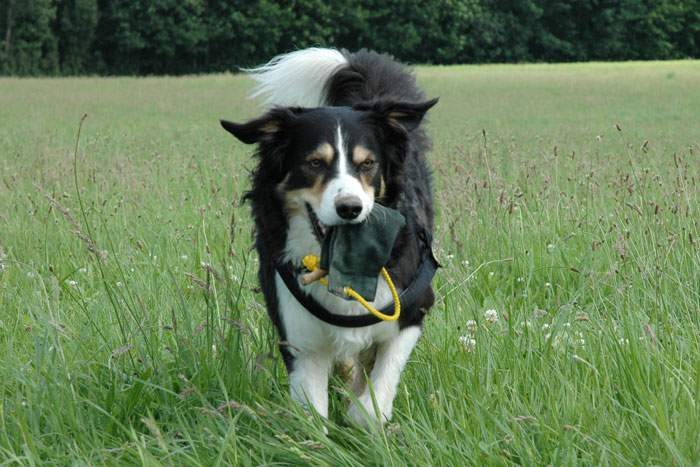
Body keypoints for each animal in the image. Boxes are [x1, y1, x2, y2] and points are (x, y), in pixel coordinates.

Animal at [220, 48, 438, 428]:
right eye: (314, 163)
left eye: (367, 164)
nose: (350, 208)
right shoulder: (300, 337)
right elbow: (313, 413)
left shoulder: (412, 308)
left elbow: (375, 393)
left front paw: (362, 417)